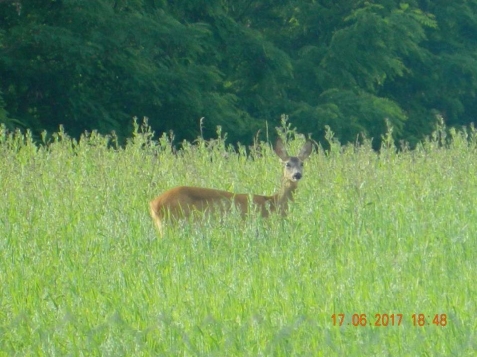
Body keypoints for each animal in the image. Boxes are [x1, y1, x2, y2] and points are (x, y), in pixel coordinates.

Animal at [149, 138, 312, 235]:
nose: (297, 175)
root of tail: (153, 203)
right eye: (287, 164)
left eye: (302, 163)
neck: (273, 202)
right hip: (174, 222)